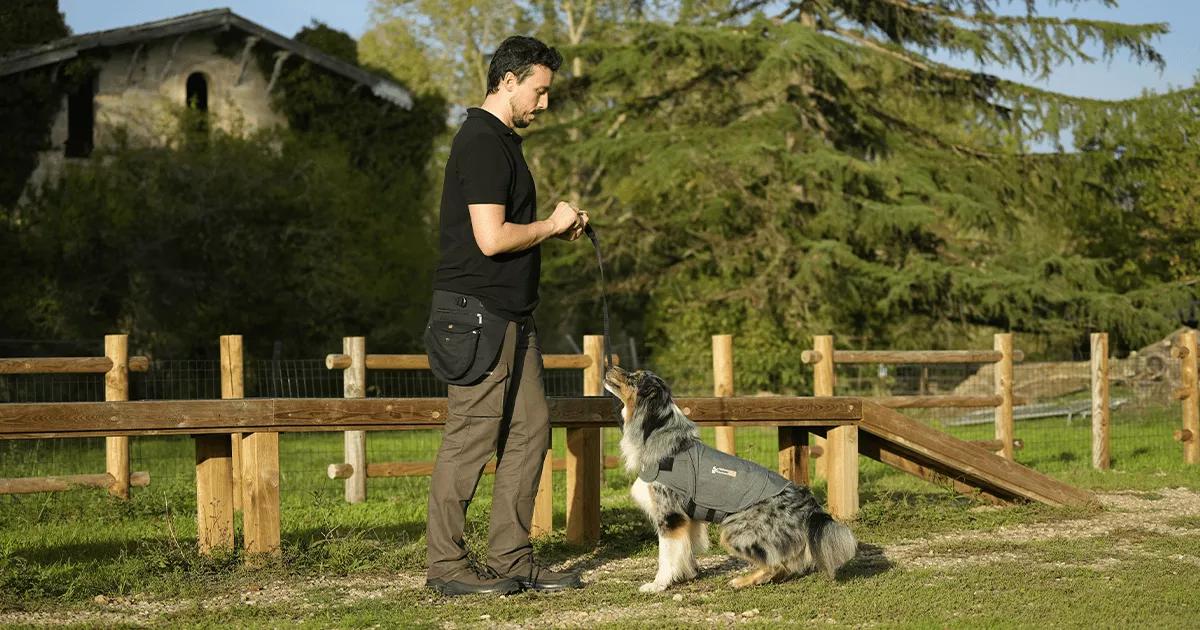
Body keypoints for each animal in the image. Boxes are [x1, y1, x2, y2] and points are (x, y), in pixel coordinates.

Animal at [604, 362, 859, 590]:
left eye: (634, 377)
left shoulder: (670, 516)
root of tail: (808, 502)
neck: (657, 432)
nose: (609, 366)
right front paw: (687, 576)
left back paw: (742, 581)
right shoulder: (688, 519)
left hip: (733, 531)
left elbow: (667, 556)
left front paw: (658, 585)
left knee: (777, 565)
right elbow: (686, 552)